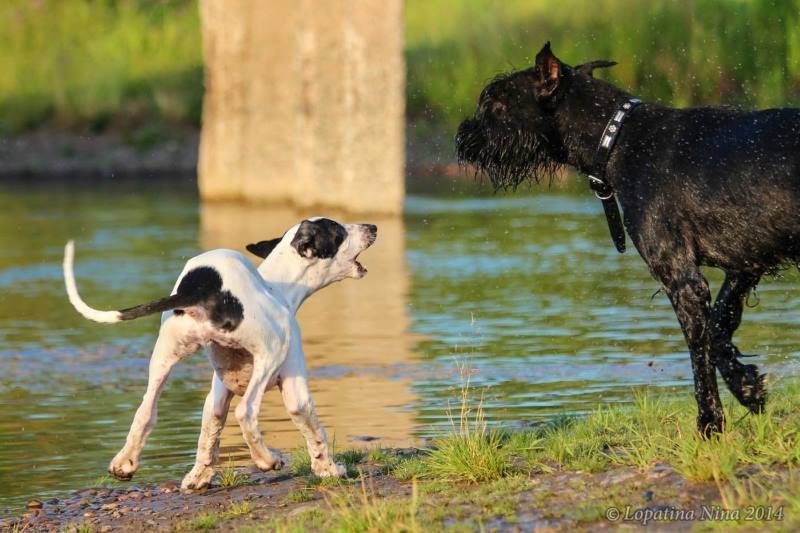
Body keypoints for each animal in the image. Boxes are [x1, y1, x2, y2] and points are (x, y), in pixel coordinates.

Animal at [61, 217, 376, 490]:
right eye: (339, 231)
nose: (372, 226)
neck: (278, 287)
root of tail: (202, 289)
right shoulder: (294, 386)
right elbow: (314, 430)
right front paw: (329, 469)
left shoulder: (217, 393)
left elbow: (209, 433)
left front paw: (199, 476)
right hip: (270, 353)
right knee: (246, 412)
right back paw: (268, 459)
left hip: (164, 358)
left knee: (145, 412)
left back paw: (123, 463)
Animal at [456, 42, 800, 436]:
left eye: (494, 103)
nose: (463, 136)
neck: (620, 139)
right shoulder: (745, 261)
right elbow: (717, 329)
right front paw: (747, 386)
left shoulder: (681, 278)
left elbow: (700, 351)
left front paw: (709, 424)